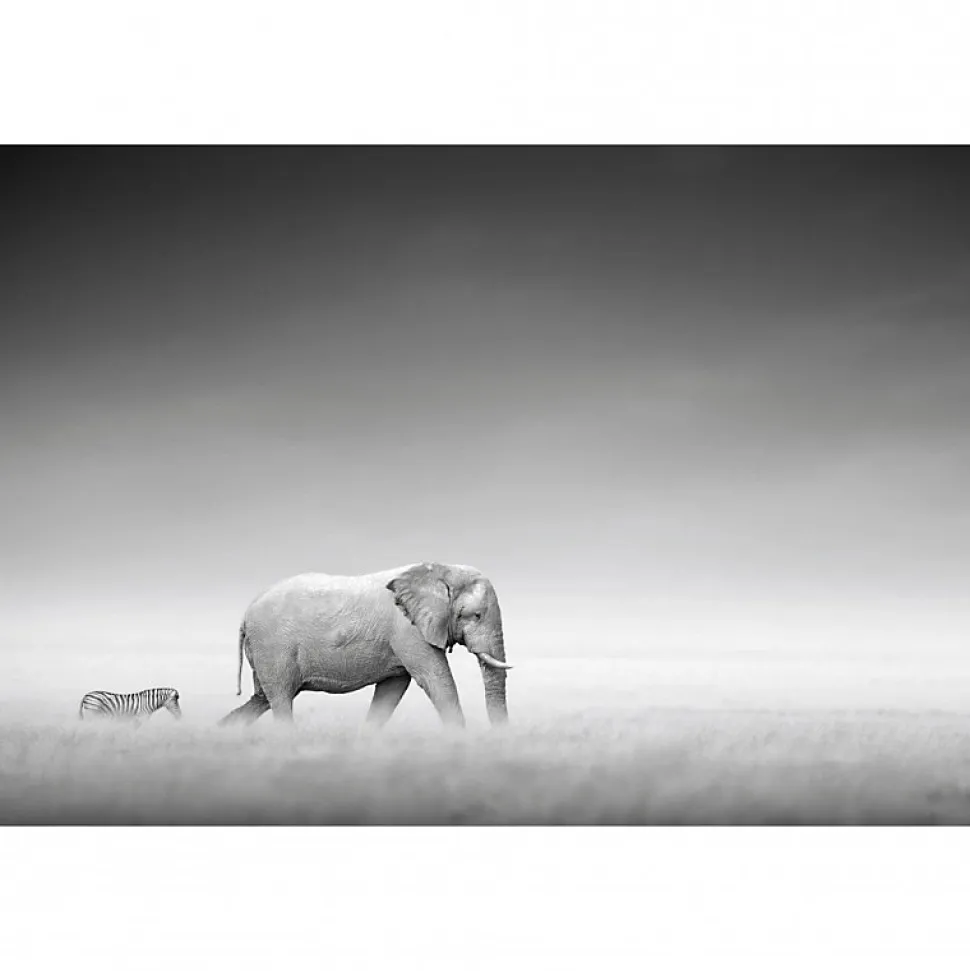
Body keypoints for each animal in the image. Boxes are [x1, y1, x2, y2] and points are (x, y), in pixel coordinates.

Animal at [218, 562, 511, 728]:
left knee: (261, 699)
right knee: (279, 700)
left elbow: (391, 690)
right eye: (475, 615)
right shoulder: (407, 630)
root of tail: (245, 615)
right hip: (273, 648)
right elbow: (437, 680)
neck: (438, 570)